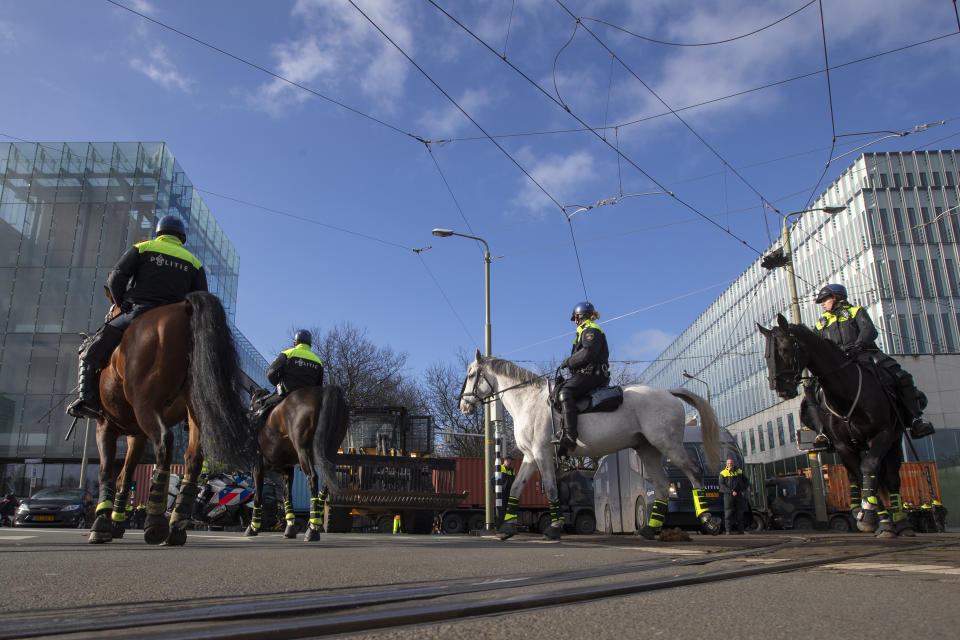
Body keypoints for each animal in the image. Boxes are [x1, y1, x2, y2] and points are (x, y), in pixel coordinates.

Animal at [88, 290, 255, 544]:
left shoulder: (105, 423)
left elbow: (107, 471)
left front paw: (102, 524)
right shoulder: (135, 435)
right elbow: (124, 474)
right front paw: (115, 523)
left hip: (145, 402)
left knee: (164, 442)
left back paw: (156, 522)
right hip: (195, 403)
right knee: (192, 458)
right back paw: (176, 524)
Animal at [244, 384, 348, 540]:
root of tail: (322, 392)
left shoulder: (258, 467)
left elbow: (258, 495)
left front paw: (253, 526)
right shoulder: (287, 469)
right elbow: (287, 495)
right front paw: (290, 527)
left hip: (303, 451)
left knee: (312, 478)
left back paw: (312, 529)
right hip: (329, 452)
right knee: (325, 483)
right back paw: (314, 523)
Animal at [458, 350, 720, 540]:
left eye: (471, 375)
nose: (463, 405)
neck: (528, 400)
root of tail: (669, 393)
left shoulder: (543, 454)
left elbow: (550, 489)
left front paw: (554, 527)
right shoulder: (531, 457)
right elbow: (515, 488)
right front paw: (508, 528)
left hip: (667, 444)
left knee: (694, 472)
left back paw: (708, 520)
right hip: (648, 449)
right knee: (663, 486)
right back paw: (649, 529)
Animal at [760, 314, 912, 536]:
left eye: (786, 349)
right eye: (766, 356)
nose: (780, 389)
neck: (846, 392)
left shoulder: (882, 433)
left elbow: (869, 468)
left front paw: (870, 515)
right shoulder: (842, 445)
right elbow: (859, 474)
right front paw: (871, 516)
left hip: (895, 437)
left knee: (891, 477)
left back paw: (901, 523)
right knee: (861, 476)